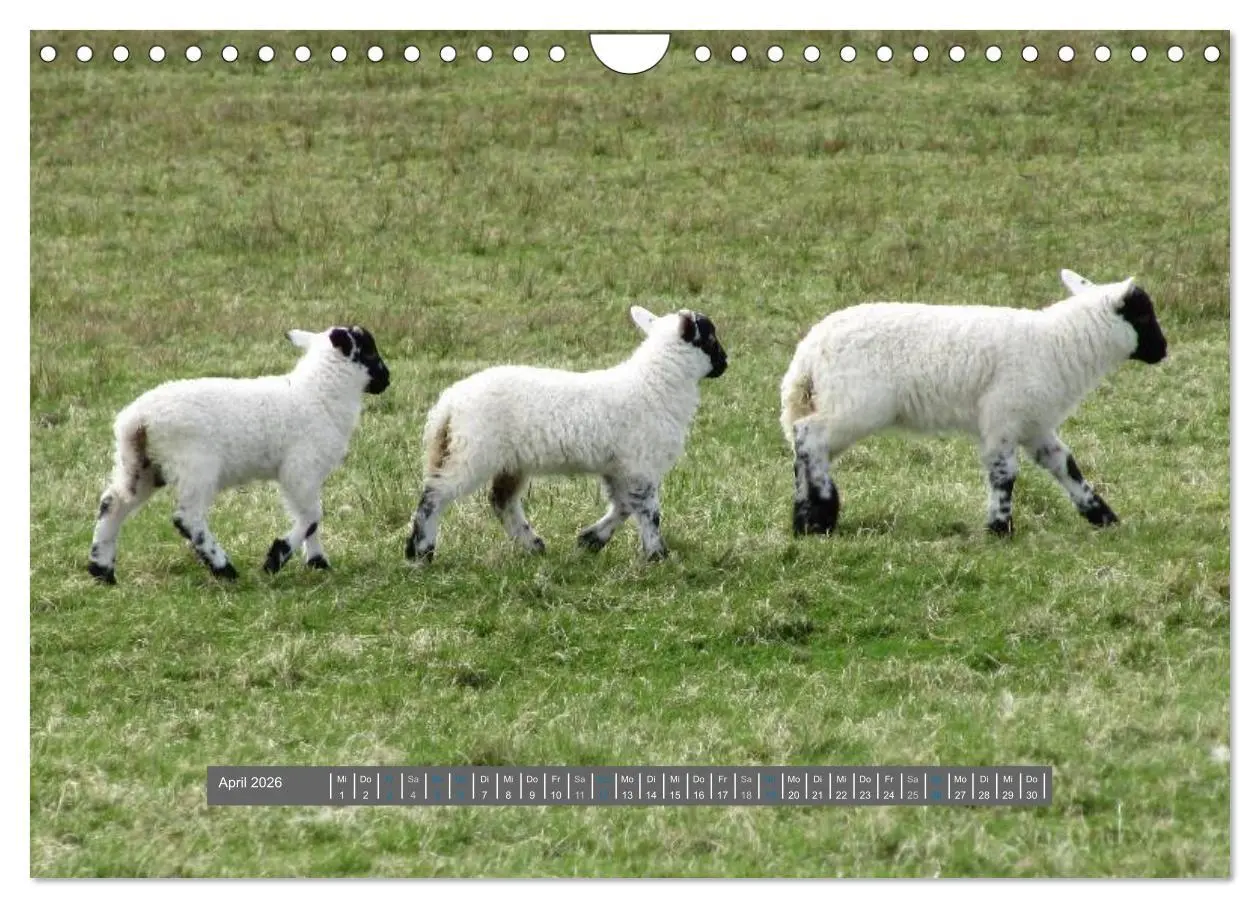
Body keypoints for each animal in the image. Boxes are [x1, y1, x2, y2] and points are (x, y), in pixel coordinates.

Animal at [87, 325, 391, 584]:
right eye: (370, 351)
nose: (387, 380)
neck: (318, 393)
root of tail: (136, 420)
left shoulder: (305, 474)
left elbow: (310, 518)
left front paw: (318, 562)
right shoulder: (299, 468)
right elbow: (312, 515)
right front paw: (276, 558)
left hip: (142, 466)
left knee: (112, 503)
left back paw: (101, 570)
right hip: (195, 465)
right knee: (187, 519)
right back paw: (224, 569)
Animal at [404, 305, 727, 564]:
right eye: (711, 338)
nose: (725, 363)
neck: (655, 384)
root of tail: (449, 403)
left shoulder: (619, 466)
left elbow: (623, 506)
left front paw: (590, 540)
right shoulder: (640, 465)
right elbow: (648, 511)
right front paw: (657, 555)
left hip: (507, 460)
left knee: (500, 500)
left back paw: (533, 545)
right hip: (473, 452)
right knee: (435, 495)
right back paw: (420, 552)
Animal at [779, 270, 1167, 537]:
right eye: (1143, 314)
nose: (1163, 351)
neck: (1059, 343)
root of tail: (809, 352)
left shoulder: (1034, 424)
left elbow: (1065, 465)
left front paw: (1103, 516)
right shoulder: (1004, 416)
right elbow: (1004, 473)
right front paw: (999, 528)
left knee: (804, 447)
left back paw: (806, 520)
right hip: (856, 405)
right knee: (809, 437)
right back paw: (823, 511)